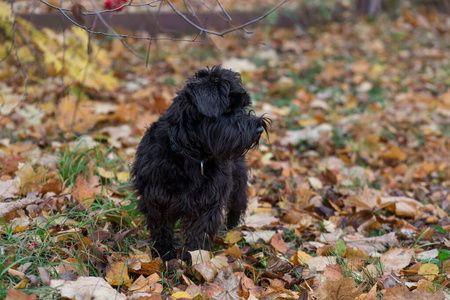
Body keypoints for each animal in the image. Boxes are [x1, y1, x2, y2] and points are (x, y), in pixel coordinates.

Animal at [132, 65, 268, 260]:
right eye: (228, 110)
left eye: (243, 107)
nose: (258, 128)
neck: (191, 155)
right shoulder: (156, 199)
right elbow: (161, 228)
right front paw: (164, 253)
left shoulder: (208, 202)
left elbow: (199, 232)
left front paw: (193, 258)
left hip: (238, 180)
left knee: (238, 203)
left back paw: (232, 227)